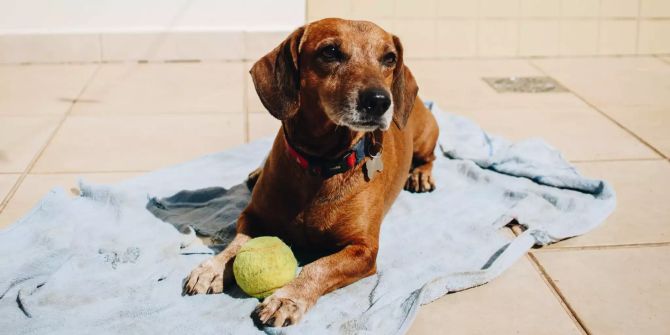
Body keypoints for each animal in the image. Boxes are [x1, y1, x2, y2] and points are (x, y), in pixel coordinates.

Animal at [182, 18, 440, 328]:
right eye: (330, 52)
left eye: (389, 58)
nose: (380, 101)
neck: (320, 164)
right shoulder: (251, 215)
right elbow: (238, 244)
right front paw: (213, 267)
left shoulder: (363, 250)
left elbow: (319, 267)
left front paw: (287, 298)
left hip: (426, 135)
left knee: (430, 157)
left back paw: (420, 175)